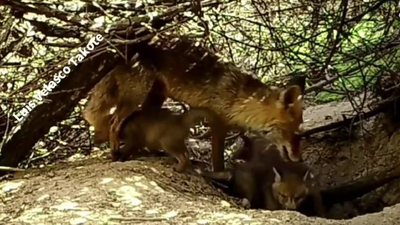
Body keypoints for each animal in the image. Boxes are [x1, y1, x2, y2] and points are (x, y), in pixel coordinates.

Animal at [82, 35, 306, 172]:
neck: (239, 100)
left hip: (155, 95)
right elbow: (218, 161)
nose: (300, 159)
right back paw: (115, 153)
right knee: (113, 122)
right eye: (294, 133)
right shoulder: (218, 123)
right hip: (136, 95)